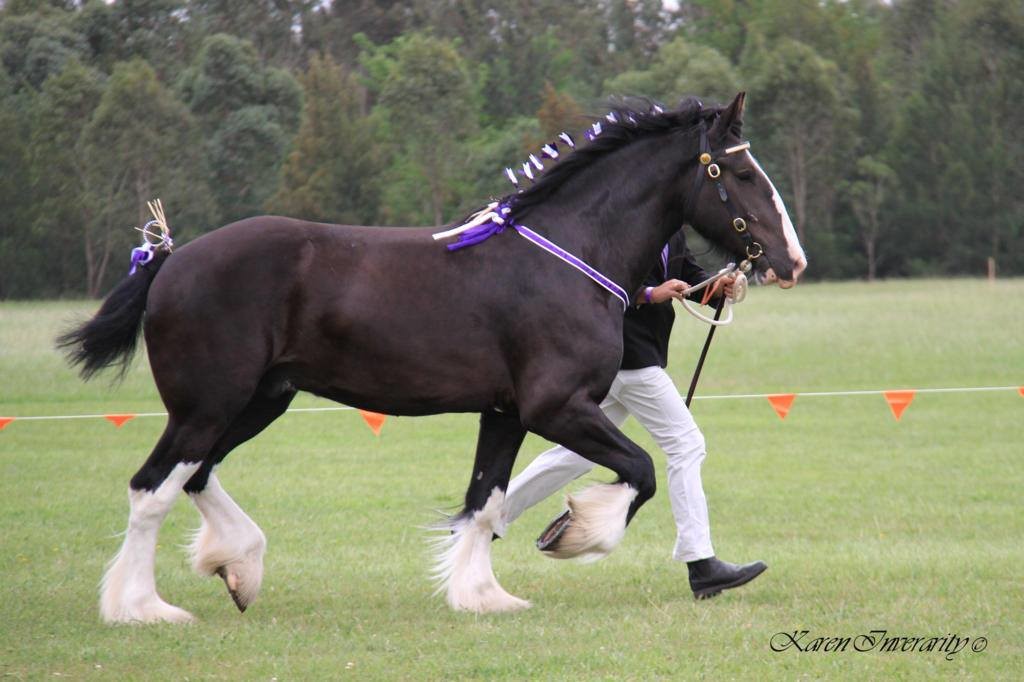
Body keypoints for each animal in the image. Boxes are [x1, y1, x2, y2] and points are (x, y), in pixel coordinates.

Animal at [59, 93, 802, 618]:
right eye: (740, 171)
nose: (791, 261)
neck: (566, 257)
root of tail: (172, 258)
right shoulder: (557, 407)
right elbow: (641, 471)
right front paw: (574, 534)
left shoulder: (506, 414)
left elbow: (485, 501)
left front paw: (482, 597)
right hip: (207, 405)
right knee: (153, 489)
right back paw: (142, 608)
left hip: (257, 401)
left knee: (195, 476)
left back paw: (238, 567)